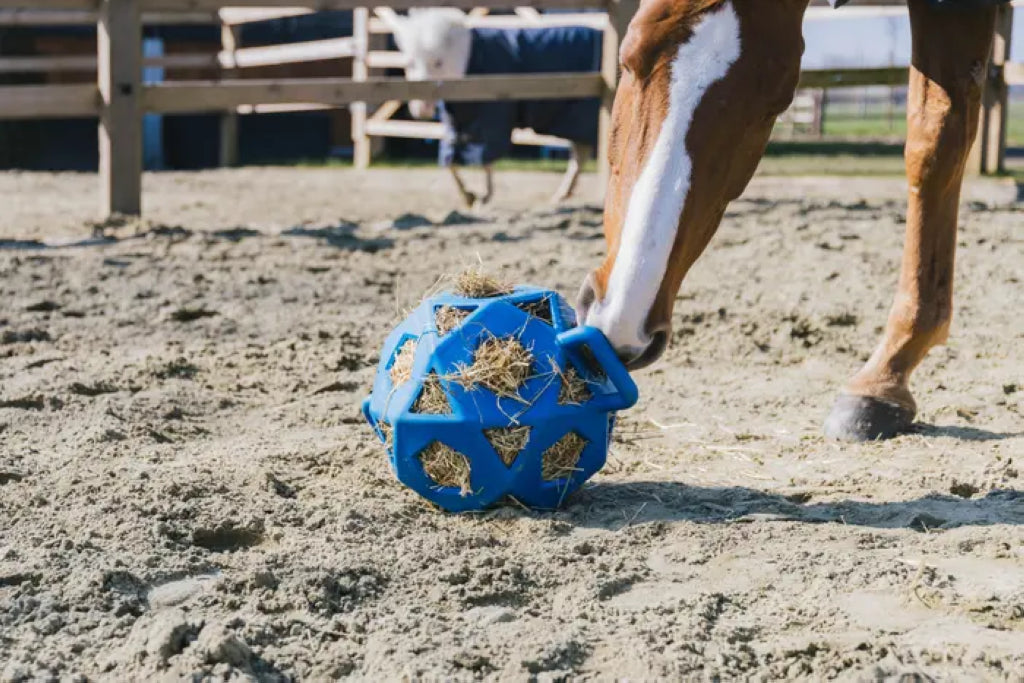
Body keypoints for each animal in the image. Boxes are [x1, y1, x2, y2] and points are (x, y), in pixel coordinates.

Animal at [387, 8, 602, 208]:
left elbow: (486, 159)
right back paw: (562, 195)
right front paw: (469, 197)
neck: (468, 63)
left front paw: (484, 197)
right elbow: (451, 161)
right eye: (410, 62)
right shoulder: (458, 124)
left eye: (438, 62)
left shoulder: (490, 120)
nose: (421, 109)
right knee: (580, 154)